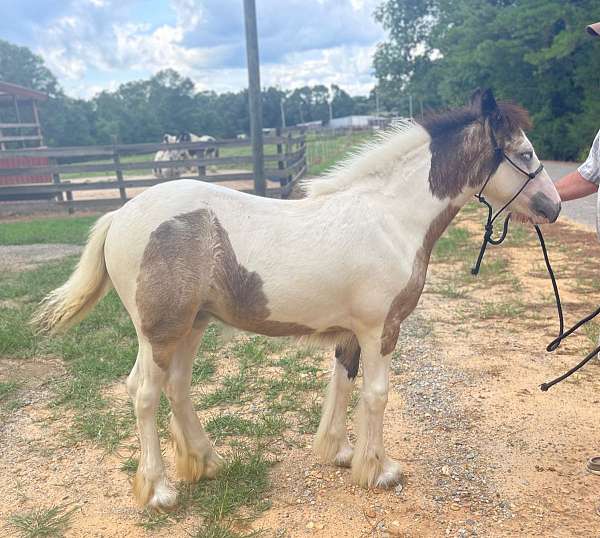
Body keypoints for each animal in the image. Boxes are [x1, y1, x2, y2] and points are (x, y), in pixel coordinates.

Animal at [34, 90, 564, 508]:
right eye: (525, 152)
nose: (554, 206)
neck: (391, 217)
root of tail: (120, 215)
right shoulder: (380, 330)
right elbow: (376, 394)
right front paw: (379, 470)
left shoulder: (351, 333)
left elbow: (343, 384)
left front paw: (340, 453)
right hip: (159, 332)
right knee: (144, 392)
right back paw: (160, 491)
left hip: (193, 326)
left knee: (177, 387)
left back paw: (207, 462)